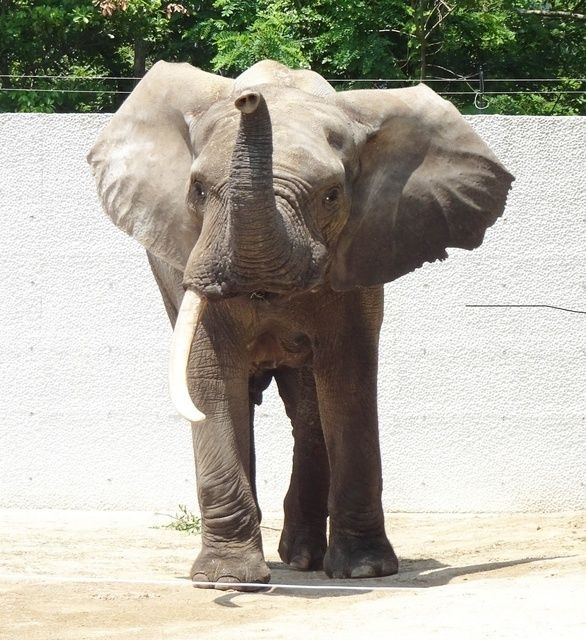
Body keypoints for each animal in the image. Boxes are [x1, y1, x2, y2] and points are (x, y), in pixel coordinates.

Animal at [86, 60, 512, 592]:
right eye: (198, 190)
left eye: (331, 195)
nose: (248, 100)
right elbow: (209, 380)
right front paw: (226, 581)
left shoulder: (362, 254)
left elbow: (347, 378)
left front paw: (365, 570)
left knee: (310, 413)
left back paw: (304, 559)